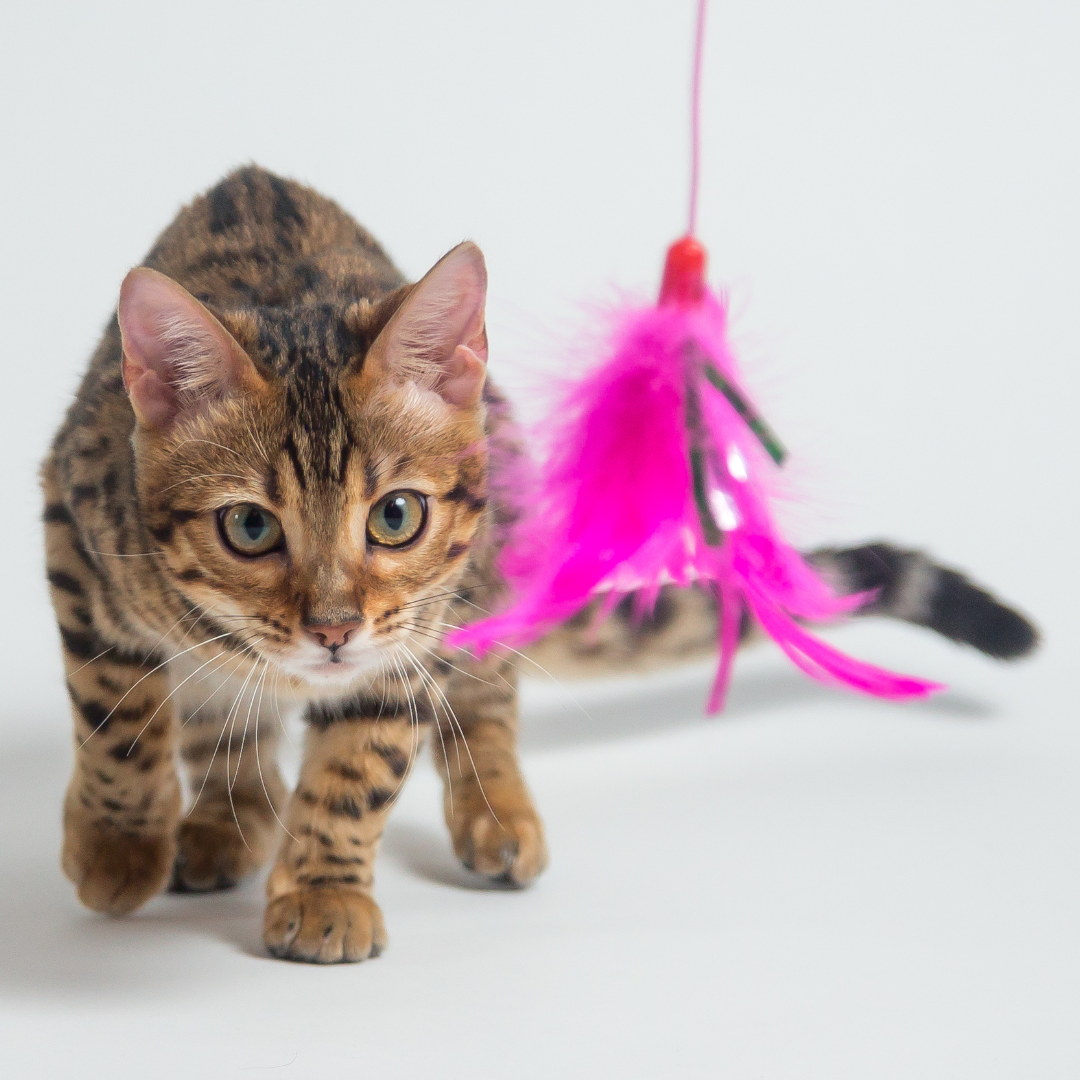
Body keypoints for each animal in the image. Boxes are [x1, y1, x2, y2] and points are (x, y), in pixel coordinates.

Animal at [44, 166, 1036, 963]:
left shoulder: (414, 627)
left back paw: (493, 810)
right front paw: (120, 843)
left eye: (395, 516)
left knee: (483, 697)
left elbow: (362, 762)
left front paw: (325, 887)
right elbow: (119, 714)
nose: (332, 629)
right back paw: (226, 816)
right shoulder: (75, 538)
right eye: (250, 527)